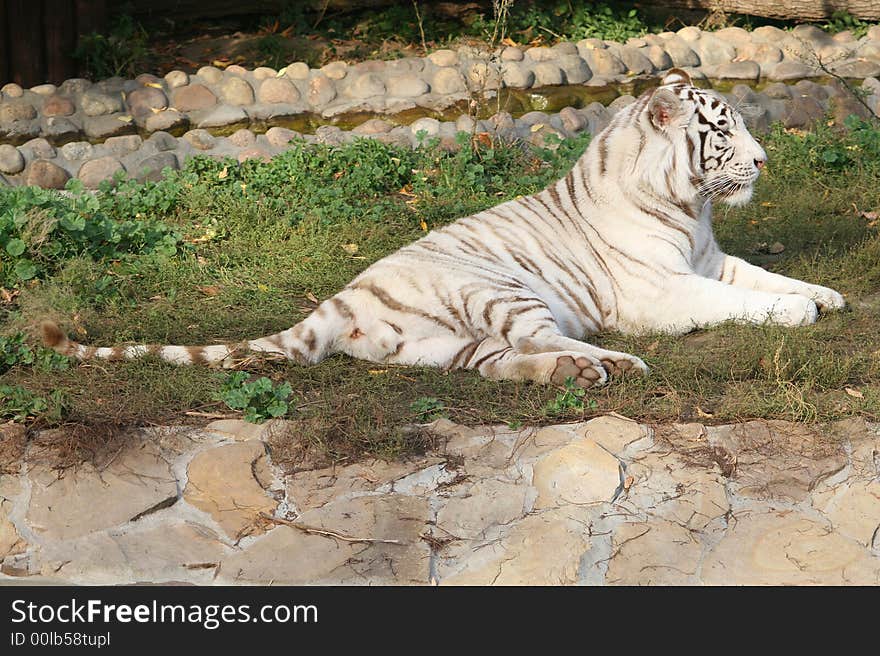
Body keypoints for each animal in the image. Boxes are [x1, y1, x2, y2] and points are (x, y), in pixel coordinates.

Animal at [43, 69, 844, 386]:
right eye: (723, 131)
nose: (765, 161)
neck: (690, 208)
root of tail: (340, 300)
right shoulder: (663, 290)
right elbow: (740, 301)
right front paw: (798, 312)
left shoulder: (711, 258)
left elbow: (763, 274)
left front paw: (825, 294)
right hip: (501, 291)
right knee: (542, 339)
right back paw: (615, 365)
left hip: (444, 346)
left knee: (504, 363)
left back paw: (578, 372)